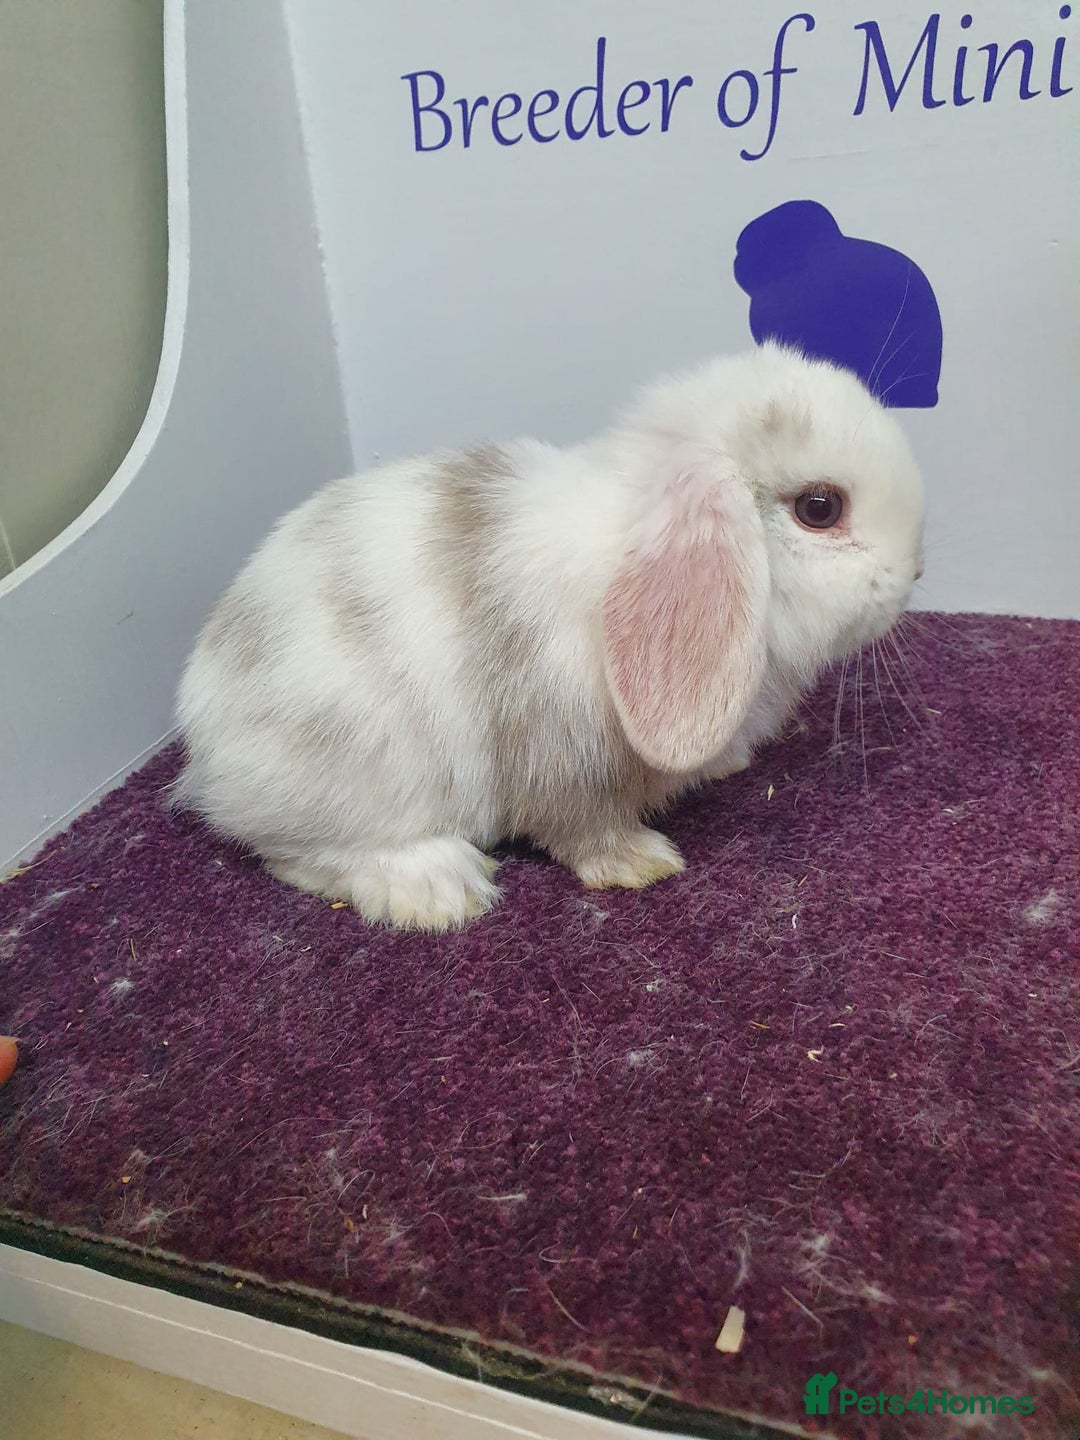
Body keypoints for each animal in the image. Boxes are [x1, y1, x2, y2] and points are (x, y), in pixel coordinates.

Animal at [175, 343, 924, 931]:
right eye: (820, 508)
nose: (915, 572)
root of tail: (204, 732)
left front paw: (726, 762)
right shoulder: (566, 752)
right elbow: (581, 827)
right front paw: (641, 863)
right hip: (358, 776)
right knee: (295, 852)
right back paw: (438, 887)